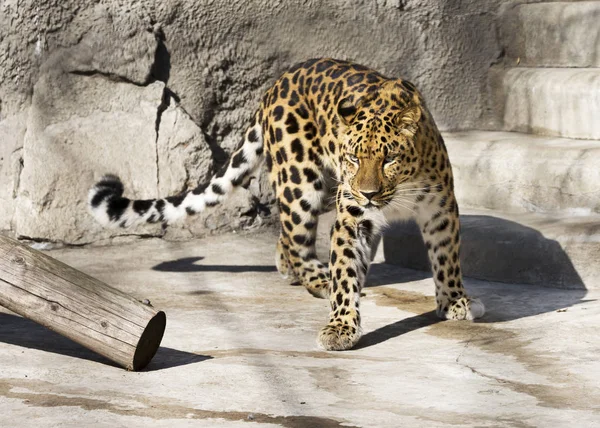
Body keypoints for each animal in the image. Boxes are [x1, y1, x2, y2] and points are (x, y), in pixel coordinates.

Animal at [88, 56, 482, 352]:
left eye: (389, 159)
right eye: (354, 158)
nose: (368, 193)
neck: (400, 190)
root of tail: (276, 82)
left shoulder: (441, 209)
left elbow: (446, 258)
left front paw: (454, 301)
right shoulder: (352, 218)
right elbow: (346, 273)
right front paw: (340, 326)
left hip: (317, 188)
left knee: (287, 240)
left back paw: (291, 270)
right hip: (302, 180)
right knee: (296, 238)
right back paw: (317, 278)